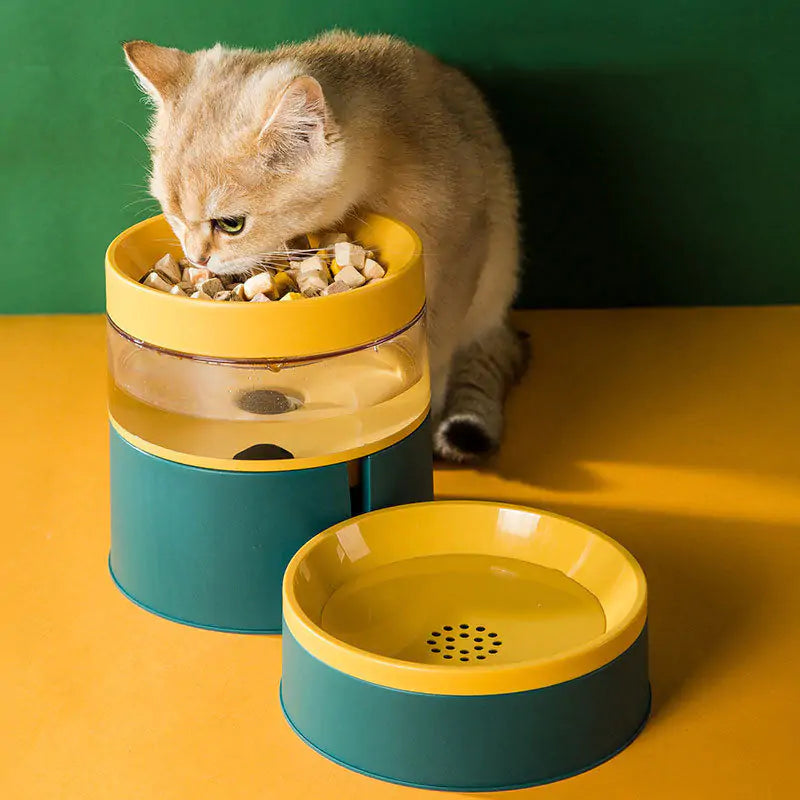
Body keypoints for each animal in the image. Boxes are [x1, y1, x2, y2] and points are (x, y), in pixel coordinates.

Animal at [123, 29, 524, 462]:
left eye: (231, 224)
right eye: (173, 215)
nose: (198, 258)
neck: (392, 145)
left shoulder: (463, 247)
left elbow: (436, 346)